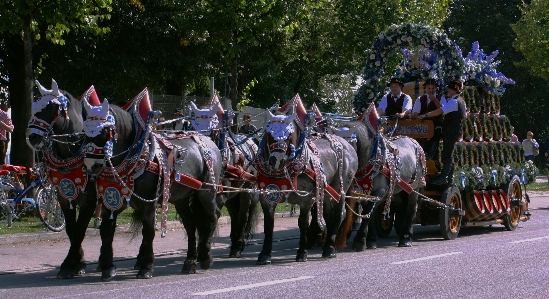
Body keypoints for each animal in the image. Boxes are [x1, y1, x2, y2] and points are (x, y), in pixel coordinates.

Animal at [26, 79, 97, 278]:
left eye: (51, 107)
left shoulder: (89, 199)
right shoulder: (64, 196)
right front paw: (75, 262)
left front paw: (73, 264)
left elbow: (80, 229)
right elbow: (71, 230)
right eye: (35, 106)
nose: (32, 137)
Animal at [82, 95, 224, 276]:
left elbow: (148, 231)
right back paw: (190, 261)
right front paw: (107, 267)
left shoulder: (148, 204)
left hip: (206, 191)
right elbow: (106, 231)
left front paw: (146, 266)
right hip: (182, 198)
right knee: (191, 224)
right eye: (85, 130)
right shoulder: (111, 199)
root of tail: (209, 142)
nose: (90, 165)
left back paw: (205, 256)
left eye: (105, 131)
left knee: (213, 215)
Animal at [254, 99, 360, 266]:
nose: (276, 160)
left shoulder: (306, 198)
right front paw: (265, 254)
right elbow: (268, 225)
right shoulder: (267, 196)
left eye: (289, 134)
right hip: (325, 190)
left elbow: (303, 223)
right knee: (328, 214)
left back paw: (330, 248)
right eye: (270, 133)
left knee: (339, 214)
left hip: (340, 187)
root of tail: (347, 143)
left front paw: (302, 252)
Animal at [332, 103, 426, 251]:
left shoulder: (380, 192)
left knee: (412, 208)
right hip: (398, 188)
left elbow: (368, 214)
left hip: (414, 186)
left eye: (348, 144)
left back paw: (406, 238)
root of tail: (414, 142)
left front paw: (359, 241)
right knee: (401, 205)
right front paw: (370, 240)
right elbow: (369, 214)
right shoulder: (365, 192)